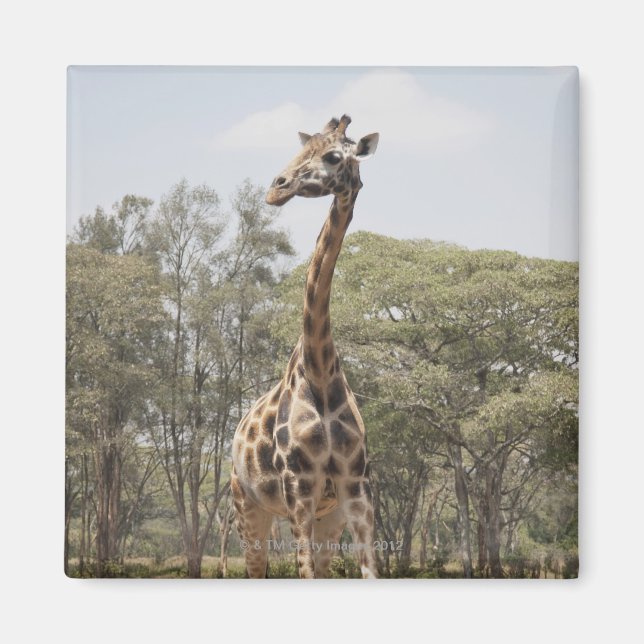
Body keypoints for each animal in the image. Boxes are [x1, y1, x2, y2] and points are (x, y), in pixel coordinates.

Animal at [230, 114, 379, 579]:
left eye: (332, 156)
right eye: (301, 149)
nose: (276, 188)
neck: (320, 369)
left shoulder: (354, 488)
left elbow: (369, 571)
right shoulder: (299, 489)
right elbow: (304, 571)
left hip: (328, 518)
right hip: (248, 508)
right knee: (255, 569)